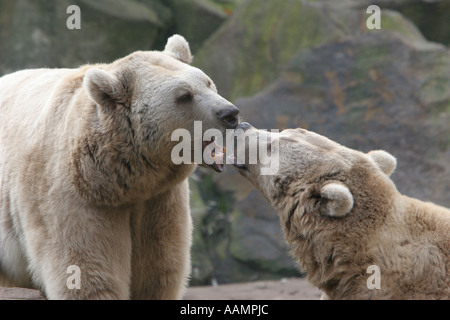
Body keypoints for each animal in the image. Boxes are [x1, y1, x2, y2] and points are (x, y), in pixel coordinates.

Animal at [0, 35, 239, 300]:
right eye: (184, 96)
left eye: (207, 82)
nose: (230, 114)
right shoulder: (74, 197)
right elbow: (86, 272)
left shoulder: (160, 199)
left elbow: (158, 272)